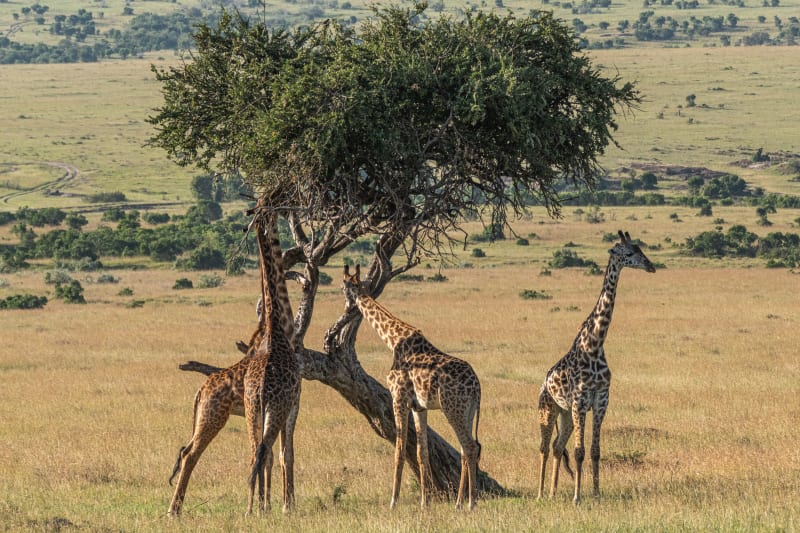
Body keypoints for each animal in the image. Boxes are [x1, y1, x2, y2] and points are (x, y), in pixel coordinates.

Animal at [166, 208, 300, 516]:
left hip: (232, 413)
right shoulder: (294, 402)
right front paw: (285, 506)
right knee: (196, 453)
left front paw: (270, 505)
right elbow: (285, 454)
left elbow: (273, 455)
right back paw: (176, 510)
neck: (279, 326)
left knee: (237, 452)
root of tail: (201, 390)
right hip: (218, 415)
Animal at [340, 264, 482, 510]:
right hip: (468, 411)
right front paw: (425, 502)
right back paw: (458, 503)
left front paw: (393, 501)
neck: (393, 340)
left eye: (343, 287)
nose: (347, 308)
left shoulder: (399, 398)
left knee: (470, 447)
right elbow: (421, 452)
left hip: (452, 408)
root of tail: (477, 387)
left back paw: (470, 503)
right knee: (466, 449)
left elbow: (399, 448)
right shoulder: (419, 406)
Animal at [536, 230, 656, 502]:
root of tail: (544, 382)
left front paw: (597, 494)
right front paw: (578, 497)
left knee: (558, 446)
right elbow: (579, 452)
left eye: (641, 249)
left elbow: (594, 451)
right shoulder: (581, 401)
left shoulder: (601, 400)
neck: (595, 343)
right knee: (544, 448)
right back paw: (540, 493)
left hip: (566, 414)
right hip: (548, 409)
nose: (651, 266)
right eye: (629, 253)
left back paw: (553, 492)